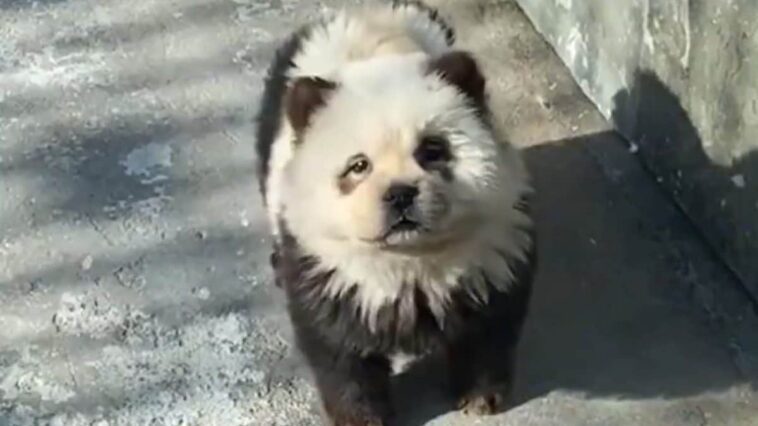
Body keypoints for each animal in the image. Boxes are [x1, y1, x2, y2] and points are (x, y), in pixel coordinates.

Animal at [254, 2, 536, 424]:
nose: (401, 195)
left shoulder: (493, 247)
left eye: (432, 149)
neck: (409, 259)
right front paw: (360, 416)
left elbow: (488, 325)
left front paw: (479, 396)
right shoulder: (329, 269)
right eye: (358, 166)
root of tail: (369, 14)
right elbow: (339, 349)